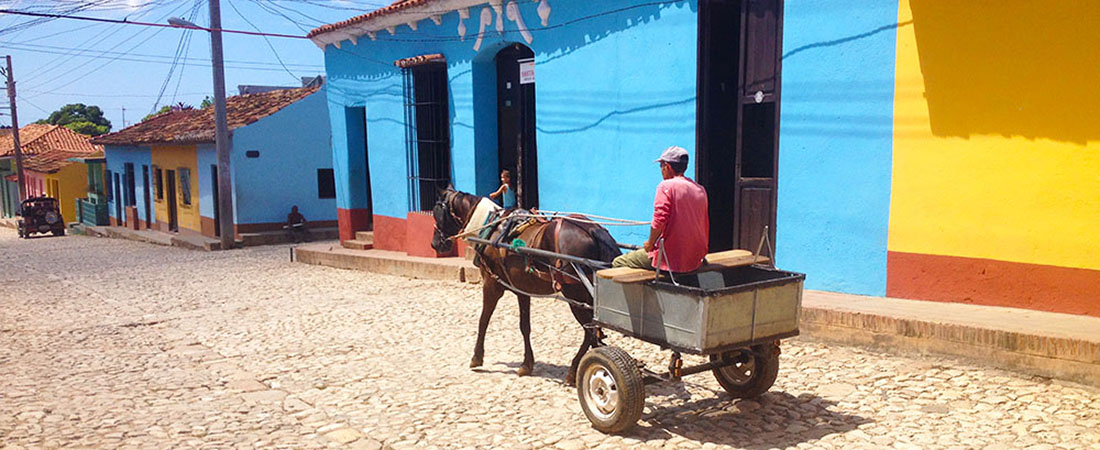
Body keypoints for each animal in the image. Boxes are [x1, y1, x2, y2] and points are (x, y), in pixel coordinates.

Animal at [426, 185, 620, 382]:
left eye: (437, 212)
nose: (435, 244)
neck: (491, 228)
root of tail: (594, 230)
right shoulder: (522, 290)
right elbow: (524, 326)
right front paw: (527, 364)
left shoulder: (491, 285)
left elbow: (483, 320)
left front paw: (476, 357)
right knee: (593, 330)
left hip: (575, 294)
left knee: (590, 330)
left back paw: (576, 370)